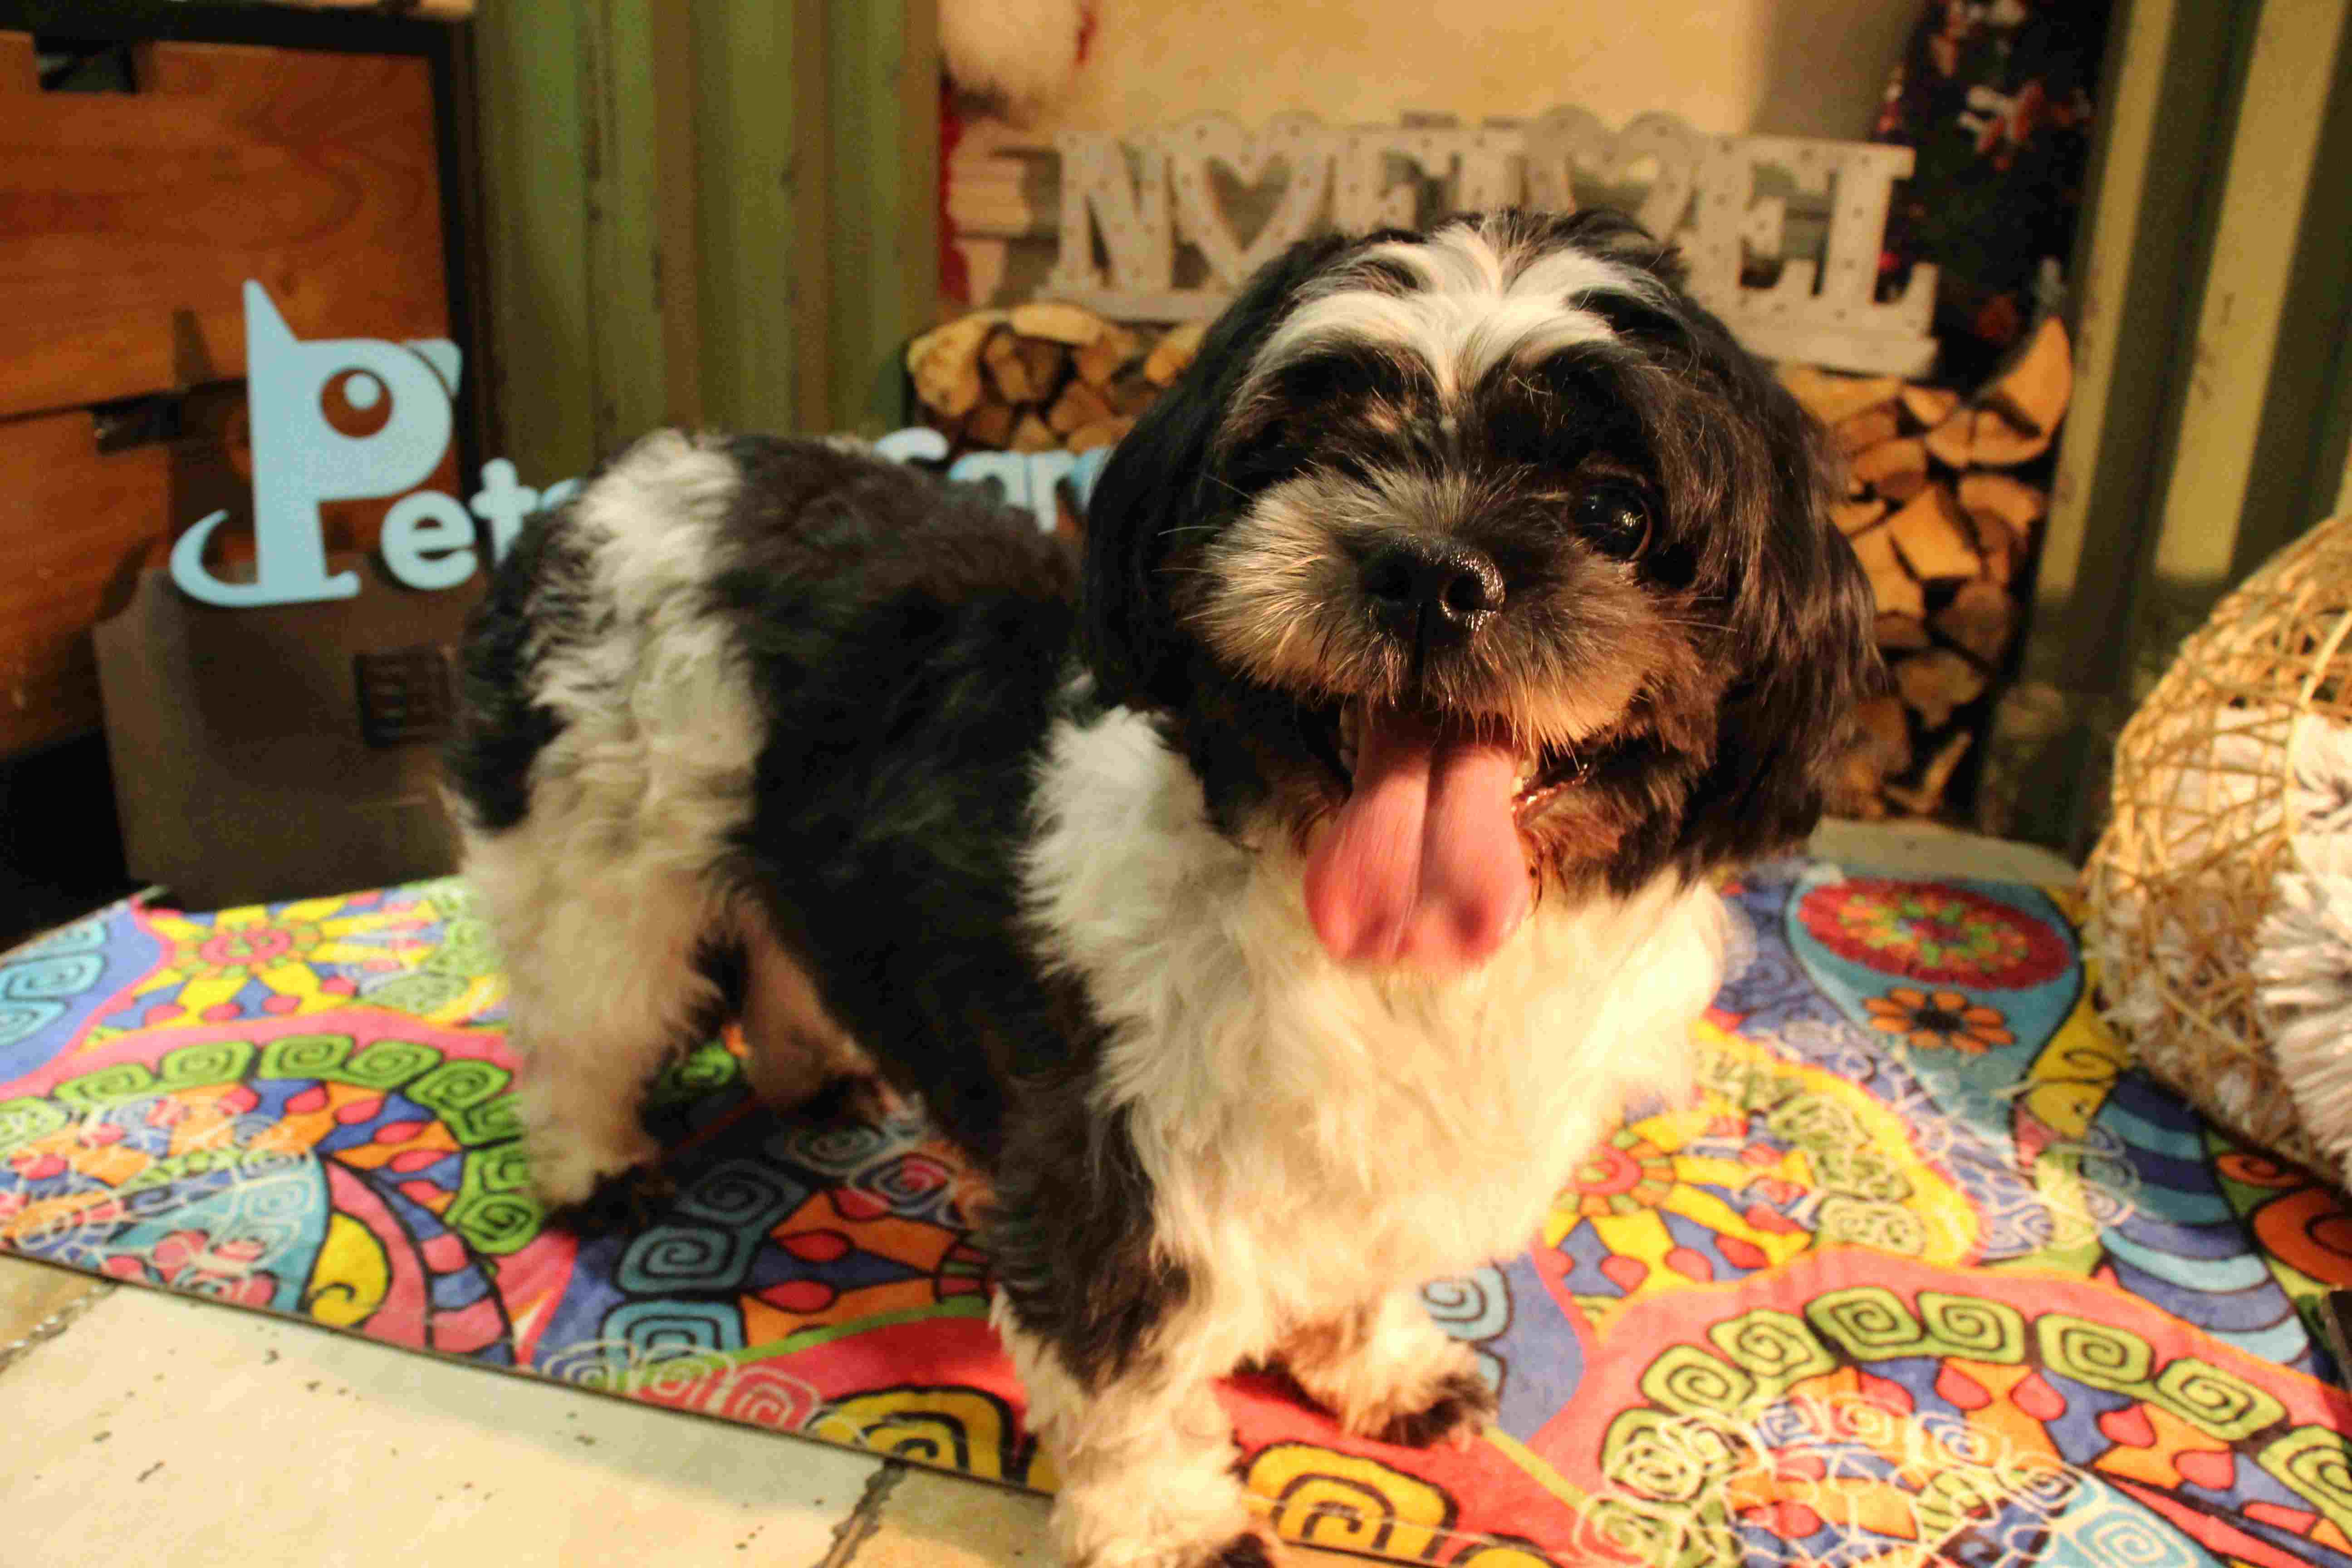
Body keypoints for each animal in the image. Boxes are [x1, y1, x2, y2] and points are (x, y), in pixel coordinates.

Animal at [445, 208, 1876, 1568]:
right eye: (1304, 456)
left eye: (1616, 515)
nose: (1428, 568)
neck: (1383, 952)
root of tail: (618, 482)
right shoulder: (1110, 1162)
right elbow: (1125, 1381)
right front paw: (1168, 1523)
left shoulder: (1381, 1152)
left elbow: (1363, 1269)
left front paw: (1380, 1368)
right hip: (596, 868)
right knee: (580, 1032)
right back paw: (596, 1168)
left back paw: (818, 1071)